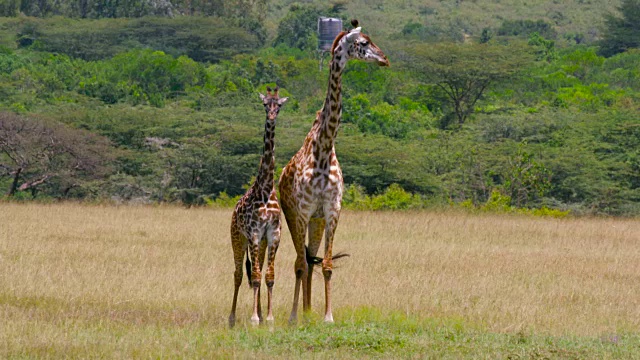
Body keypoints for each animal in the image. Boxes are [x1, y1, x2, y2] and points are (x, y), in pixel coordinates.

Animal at [278, 20, 388, 324]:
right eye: (363, 43)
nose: (385, 59)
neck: (324, 149)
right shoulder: (302, 210)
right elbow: (300, 264)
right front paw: (293, 317)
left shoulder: (331, 209)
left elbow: (326, 265)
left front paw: (327, 316)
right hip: (292, 216)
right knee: (300, 261)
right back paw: (299, 314)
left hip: (315, 222)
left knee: (310, 259)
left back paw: (308, 311)